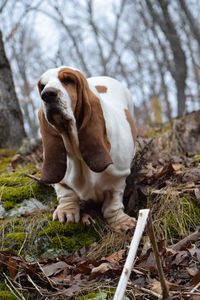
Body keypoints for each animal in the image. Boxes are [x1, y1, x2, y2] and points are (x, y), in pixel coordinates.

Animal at [37, 67, 137, 232]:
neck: (78, 154)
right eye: (42, 86)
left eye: (68, 80)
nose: (47, 94)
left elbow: (113, 202)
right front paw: (66, 212)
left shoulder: (118, 177)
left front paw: (122, 222)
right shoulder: (60, 181)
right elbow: (65, 193)